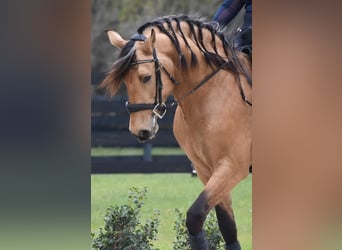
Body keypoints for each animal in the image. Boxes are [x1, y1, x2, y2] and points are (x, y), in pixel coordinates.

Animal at [99, 14, 251, 250]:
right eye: (125, 80)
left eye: (146, 77)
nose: (140, 131)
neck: (211, 97)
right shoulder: (207, 170)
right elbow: (226, 226)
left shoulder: (232, 167)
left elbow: (195, 216)